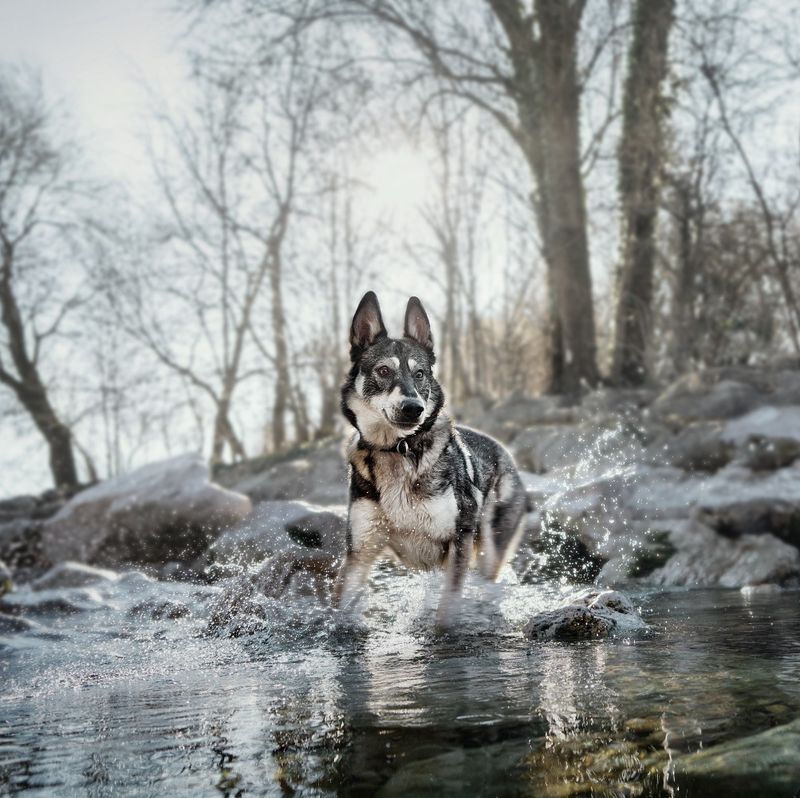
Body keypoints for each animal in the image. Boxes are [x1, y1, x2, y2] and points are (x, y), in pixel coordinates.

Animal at [334, 291, 527, 626]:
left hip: (489, 551)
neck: (398, 449)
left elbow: (448, 609)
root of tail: (505, 451)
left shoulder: (459, 543)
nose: (414, 408)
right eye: (383, 371)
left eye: (420, 373)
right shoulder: (359, 553)